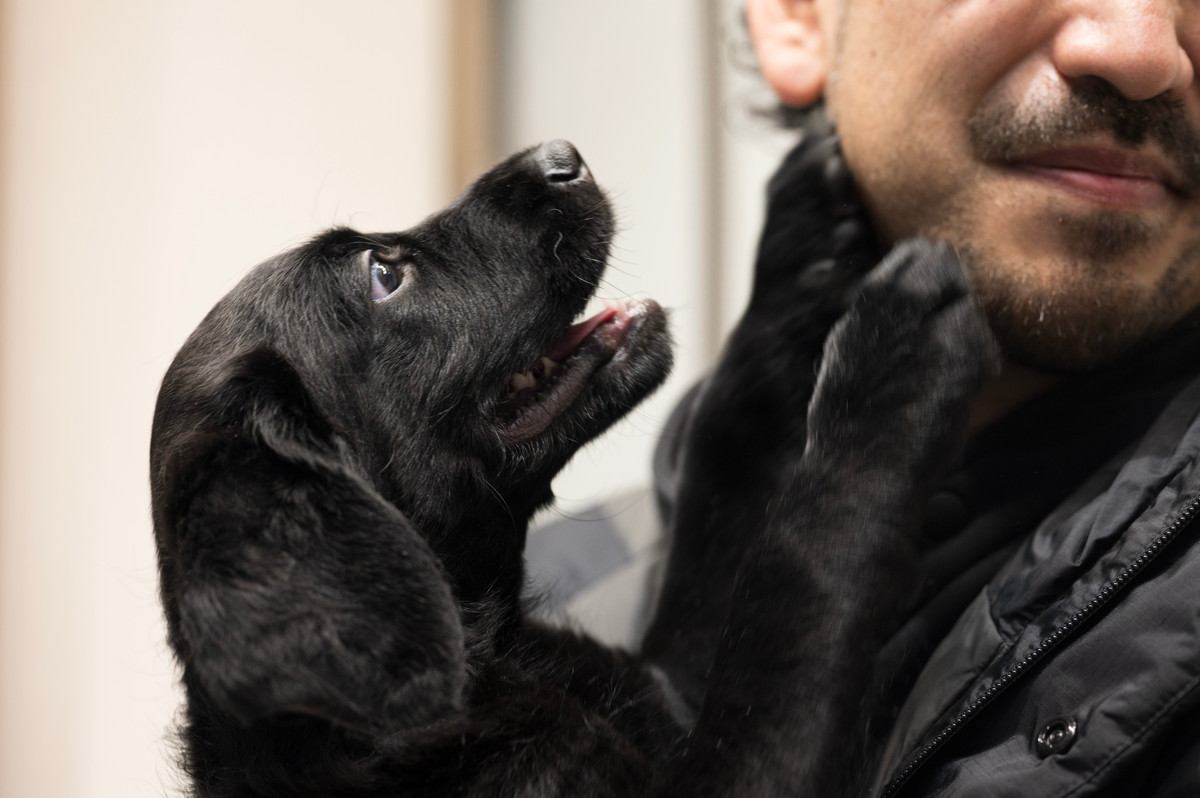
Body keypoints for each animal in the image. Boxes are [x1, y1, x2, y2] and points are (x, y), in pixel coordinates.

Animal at [150, 133, 993, 792]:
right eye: (384, 274)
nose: (564, 157)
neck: (493, 654)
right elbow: (803, 571)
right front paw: (890, 359)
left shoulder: (671, 690)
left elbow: (728, 466)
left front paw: (802, 237)